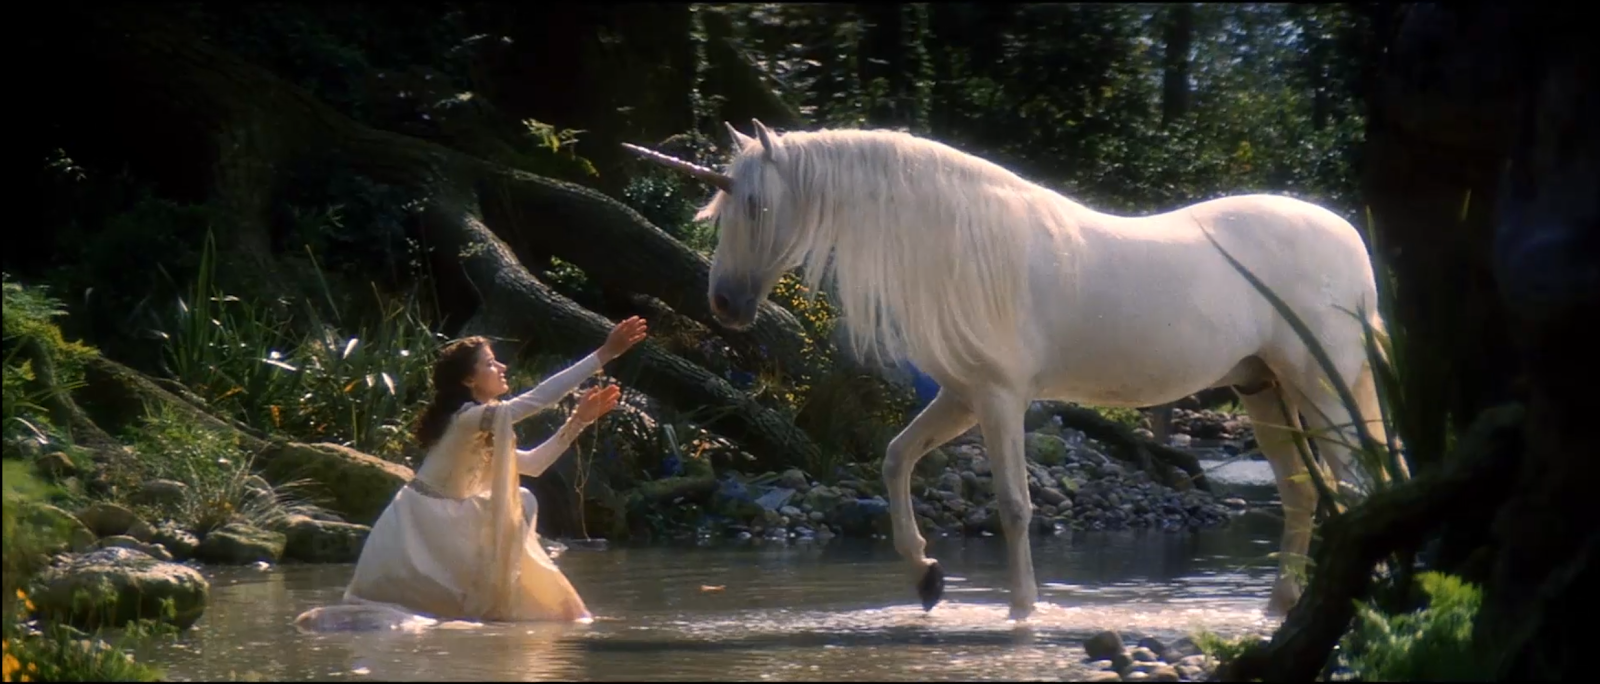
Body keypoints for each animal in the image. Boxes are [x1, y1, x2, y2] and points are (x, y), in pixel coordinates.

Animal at [623, 119, 1391, 620]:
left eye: (756, 205)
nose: (723, 304)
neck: (959, 244)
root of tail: (1348, 238)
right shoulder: (960, 398)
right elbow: (895, 460)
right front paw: (926, 575)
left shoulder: (998, 400)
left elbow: (1015, 508)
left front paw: (1024, 615)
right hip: (1265, 389)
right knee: (1302, 494)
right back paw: (1281, 607)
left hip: (1320, 387)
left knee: (1351, 487)